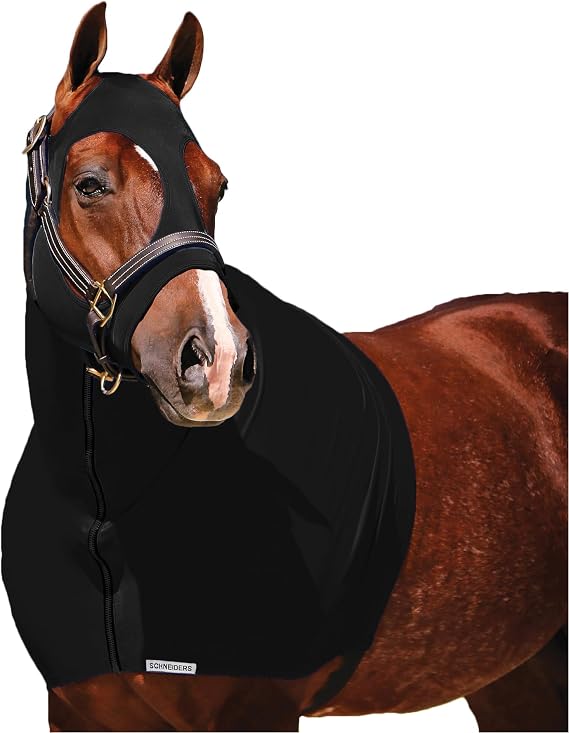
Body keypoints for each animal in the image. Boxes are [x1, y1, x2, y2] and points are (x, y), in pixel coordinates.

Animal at [7, 4, 568, 732]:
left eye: (216, 185)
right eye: (90, 184)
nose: (217, 360)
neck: (106, 503)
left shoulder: (258, 705)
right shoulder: (79, 709)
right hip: (516, 674)